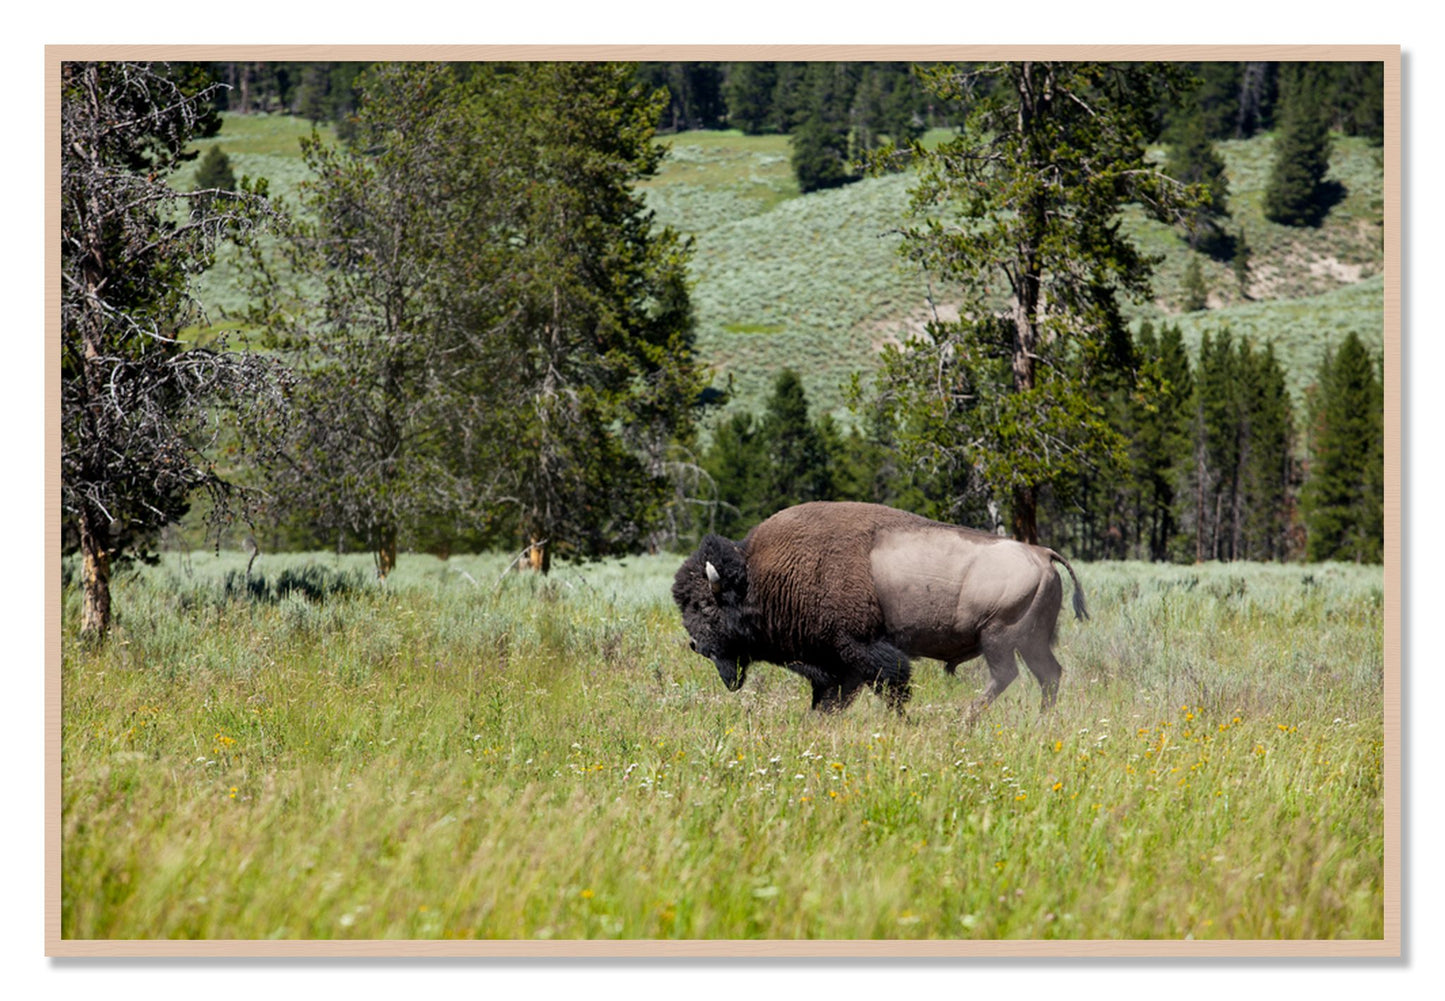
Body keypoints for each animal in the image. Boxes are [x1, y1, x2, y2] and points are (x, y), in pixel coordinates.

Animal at [672, 501, 1088, 722]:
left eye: (705, 606)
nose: (696, 645)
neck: (760, 576)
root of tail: (1042, 553)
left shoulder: (861, 649)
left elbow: (891, 685)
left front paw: (902, 721)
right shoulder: (836, 664)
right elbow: (832, 697)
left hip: (998, 637)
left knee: (1006, 675)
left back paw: (965, 719)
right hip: (1031, 641)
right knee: (1048, 675)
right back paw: (1041, 720)